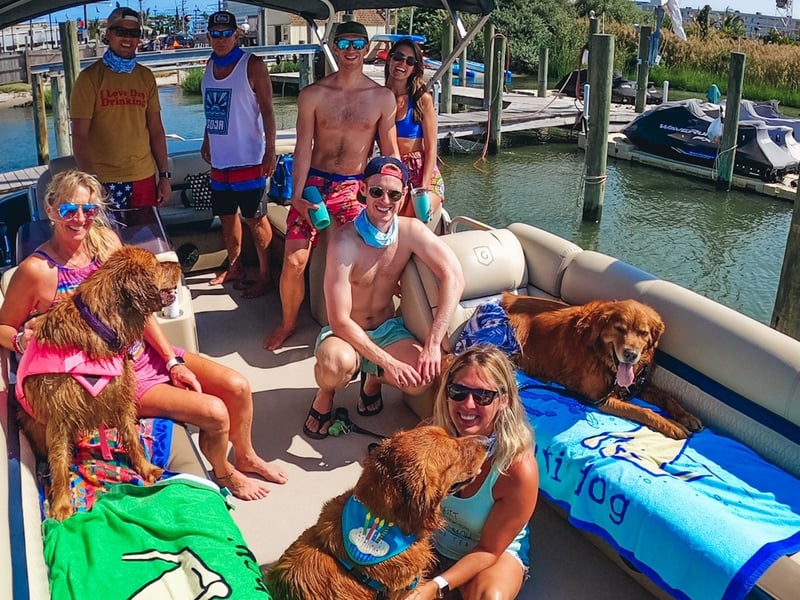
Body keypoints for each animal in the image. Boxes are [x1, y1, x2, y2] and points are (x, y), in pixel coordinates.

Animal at [16, 246, 182, 521]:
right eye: (157, 265)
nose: (178, 264)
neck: (100, 326)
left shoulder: (120, 395)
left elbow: (131, 436)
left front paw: (146, 468)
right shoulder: (58, 417)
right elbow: (59, 461)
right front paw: (62, 505)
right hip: (33, 423)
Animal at [501, 292, 702, 440]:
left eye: (643, 333)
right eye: (619, 329)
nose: (631, 355)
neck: (600, 356)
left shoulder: (636, 385)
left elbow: (667, 397)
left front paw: (686, 416)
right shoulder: (600, 399)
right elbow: (642, 410)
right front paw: (671, 425)